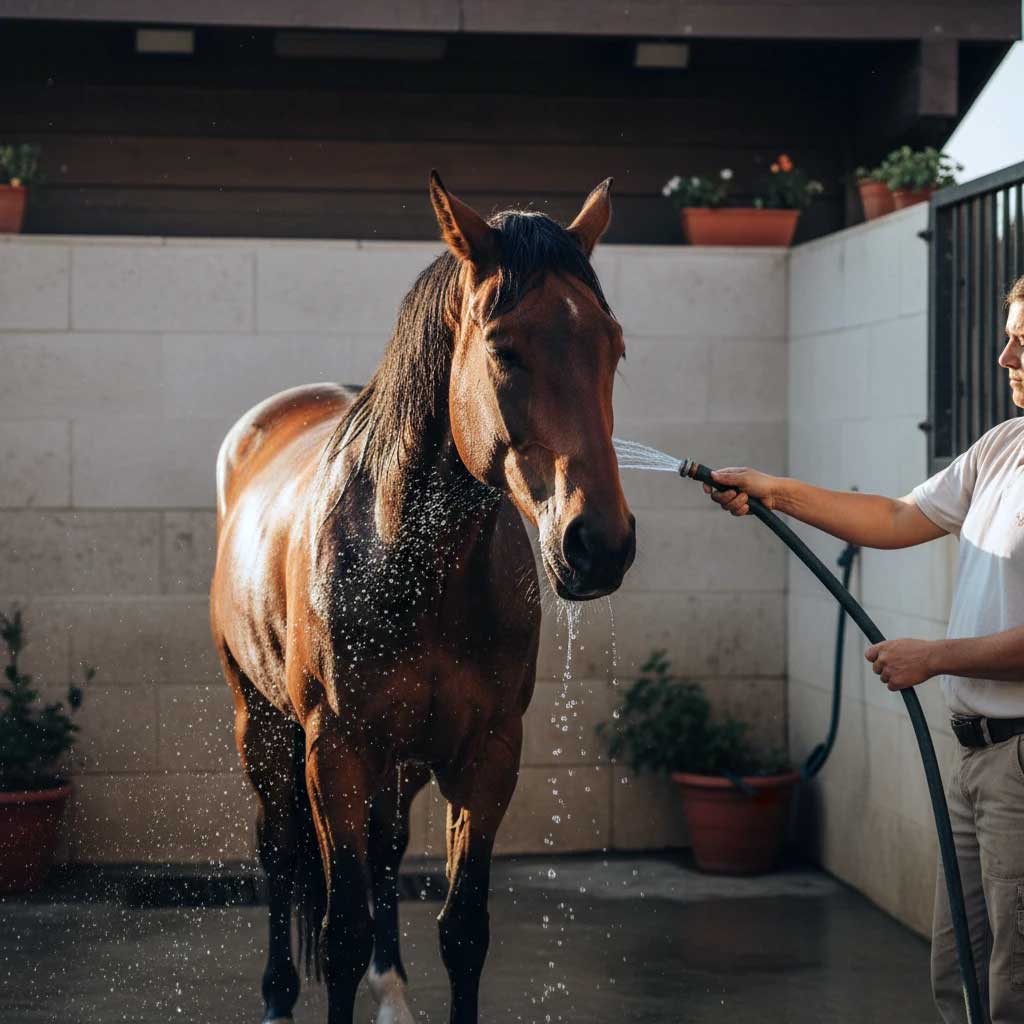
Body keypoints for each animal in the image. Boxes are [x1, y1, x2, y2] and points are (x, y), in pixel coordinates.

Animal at [209, 172, 636, 1024]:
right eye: (503, 349)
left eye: (613, 346)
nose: (598, 544)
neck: (408, 559)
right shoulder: (334, 751)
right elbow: (340, 930)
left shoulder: (487, 753)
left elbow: (462, 928)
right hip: (261, 723)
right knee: (279, 852)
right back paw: (277, 996)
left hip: (399, 759)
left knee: (384, 850)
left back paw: (393, 989)